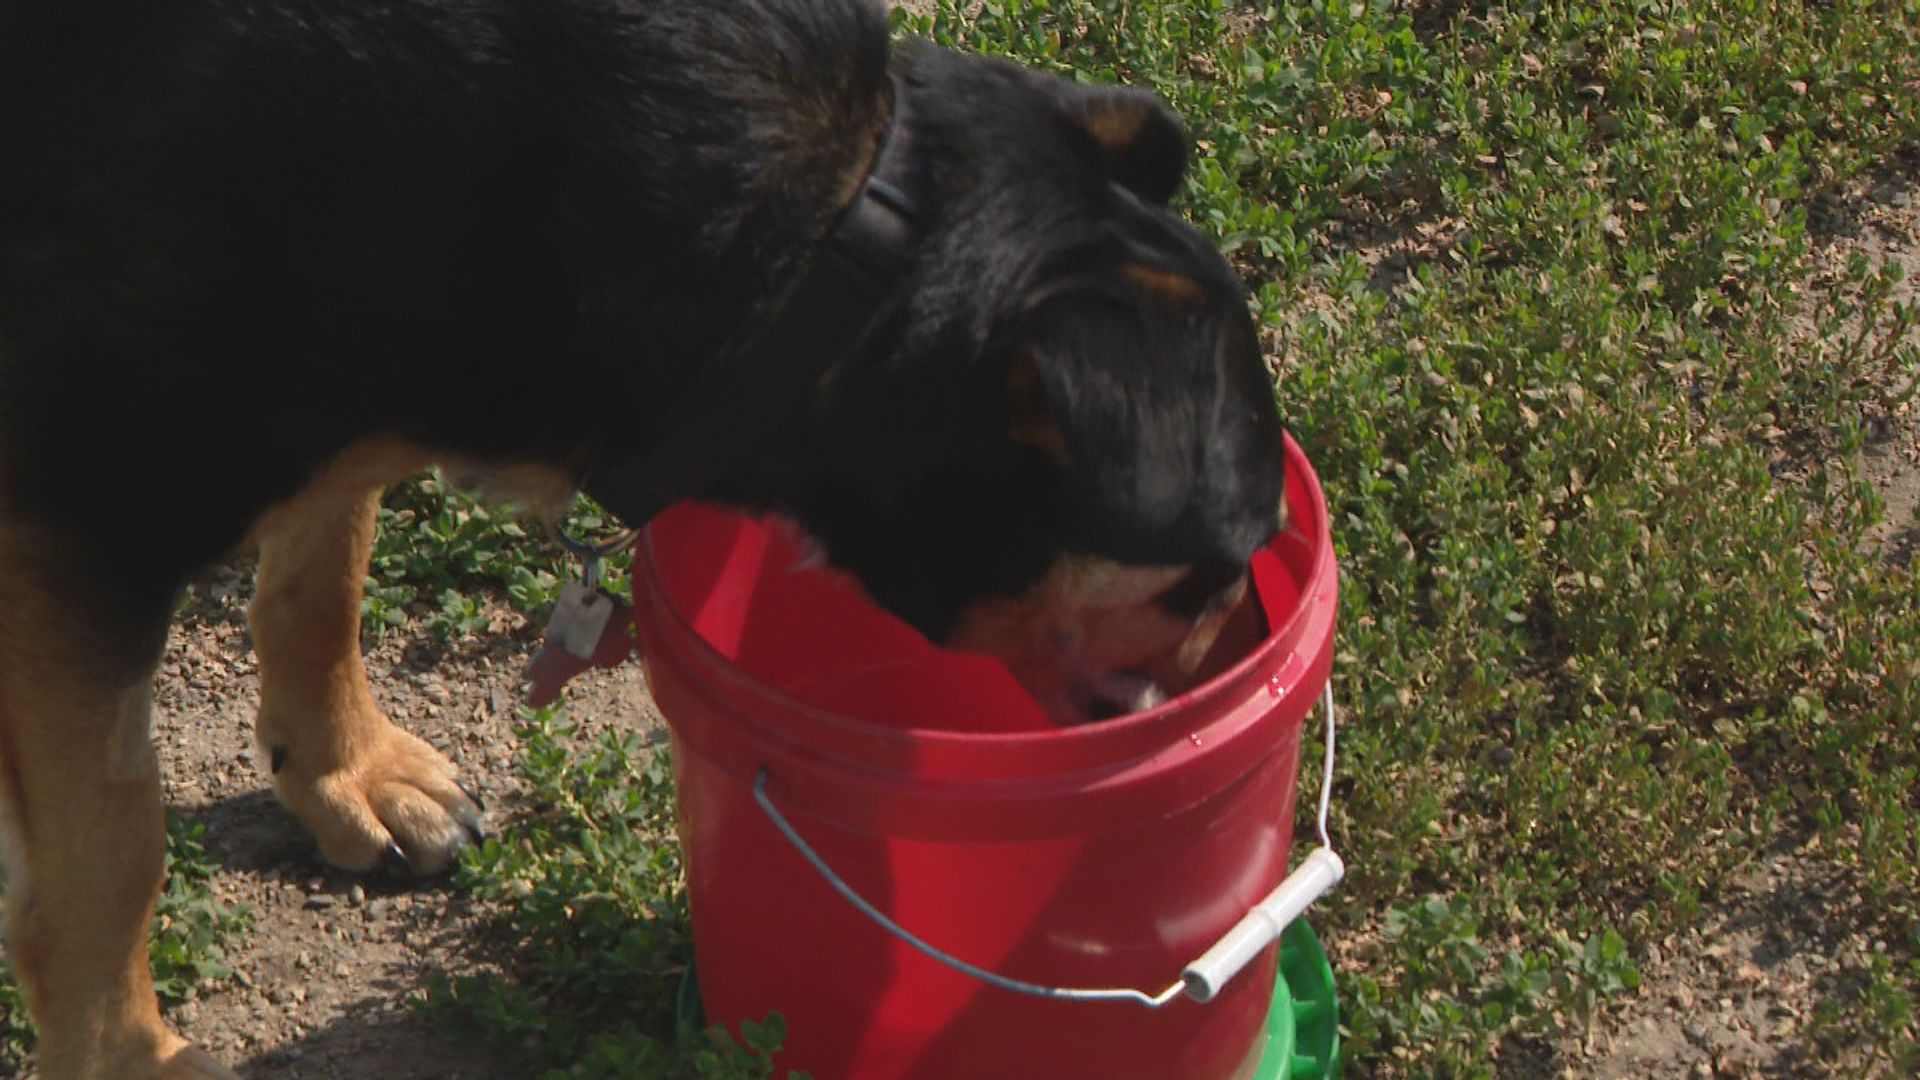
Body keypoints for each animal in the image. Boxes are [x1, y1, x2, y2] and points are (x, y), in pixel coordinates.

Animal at [3, 4, 1290, 1068]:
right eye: (1216, 568)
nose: (1249, 671)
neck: (829, 237)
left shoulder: (371, 369)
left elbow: (325, 573)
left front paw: (343, 770)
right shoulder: (74, 510)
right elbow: (113, 852)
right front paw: (129, 1060)